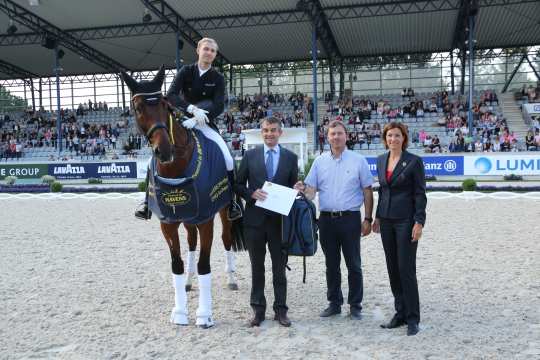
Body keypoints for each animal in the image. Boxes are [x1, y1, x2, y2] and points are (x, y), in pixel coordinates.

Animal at [122, 66, 243, 328]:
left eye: (164, 105)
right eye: (138, 108)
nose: (164, 151)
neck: (176, 167)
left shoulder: (206, 219)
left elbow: (205, 264)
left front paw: (204, 315)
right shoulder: (168, 222)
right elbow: (176, 264)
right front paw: (179, 312)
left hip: (223, 211)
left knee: (227, 240)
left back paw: (231, 279)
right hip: (188, 218)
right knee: (191, 243)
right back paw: (188, 281)